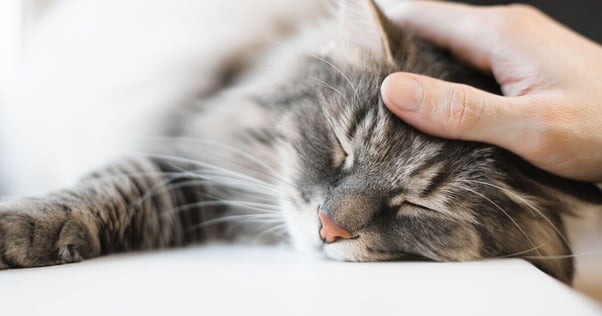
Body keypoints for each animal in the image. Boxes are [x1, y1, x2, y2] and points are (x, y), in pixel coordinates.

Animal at [0, 0, 596, 286]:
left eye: (418, 206)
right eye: (340, 147)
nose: (328, 229)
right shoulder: (190, 168)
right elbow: (99, 192)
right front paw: (20, 228)